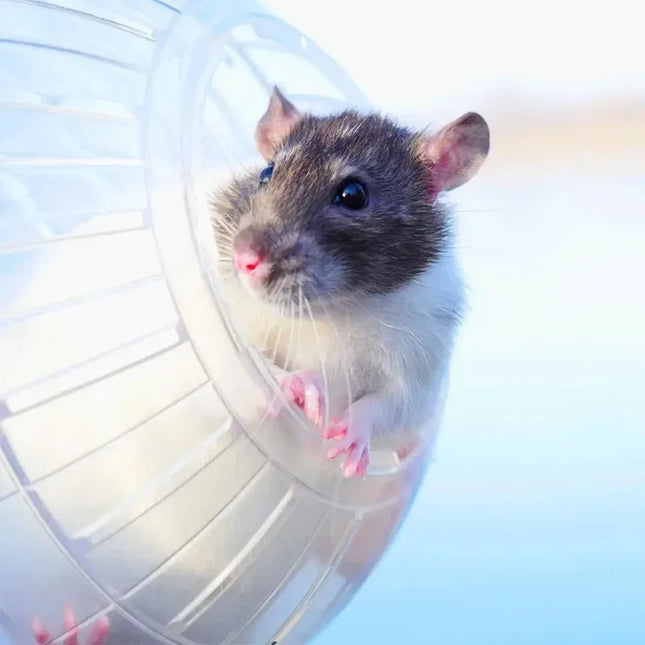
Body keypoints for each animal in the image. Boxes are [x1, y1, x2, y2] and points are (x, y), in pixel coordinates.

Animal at [211, 87, 490, 478]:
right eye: (266, 172)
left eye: (353, 194)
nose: (244, 259)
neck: (336, 309)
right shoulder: (234, 310)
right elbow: (243, 354)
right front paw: (298, 383)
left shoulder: (421, 360)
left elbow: (393, 405)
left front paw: (356, 430)